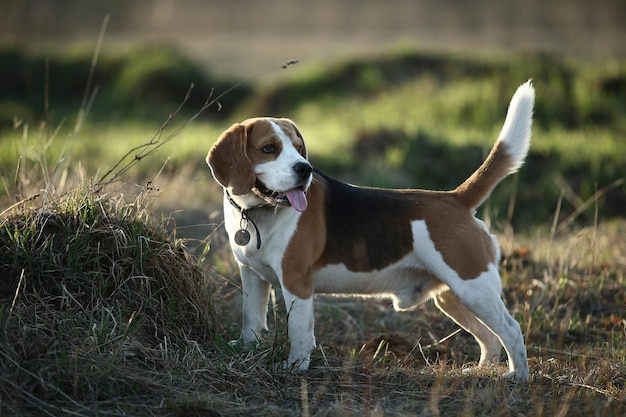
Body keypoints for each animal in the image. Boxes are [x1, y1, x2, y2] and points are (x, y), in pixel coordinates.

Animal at [207, 79, 532, 378]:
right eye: (269, 149)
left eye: (299, 149)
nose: (305, 169)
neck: (256, 211)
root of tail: (456, 198)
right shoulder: (250, 274)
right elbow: (251, 316)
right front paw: (246, 347)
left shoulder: (296, 282)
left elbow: (298, 332)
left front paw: (294, 367)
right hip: (453, 297)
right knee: (490, 335)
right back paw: (481, 369)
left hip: (473, 288)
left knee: (511, 329)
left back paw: (518, 376)